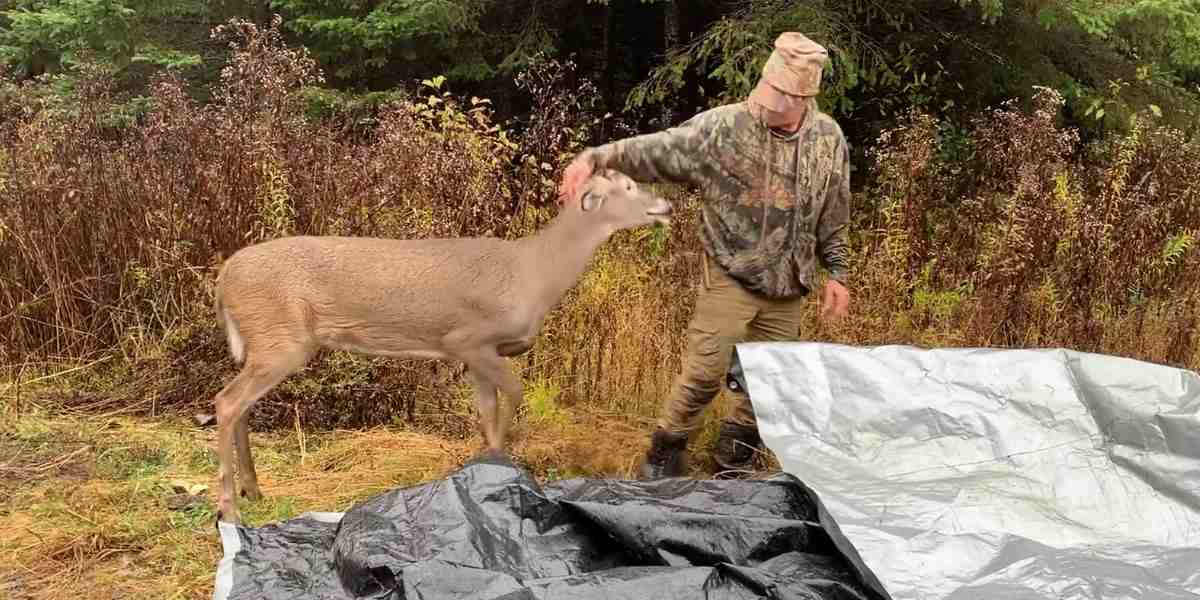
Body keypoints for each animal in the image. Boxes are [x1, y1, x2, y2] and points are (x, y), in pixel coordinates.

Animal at [208, 168, 676, 520]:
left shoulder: (478, 356)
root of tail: (224, 277)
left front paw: (487, 473)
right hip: (279, 338)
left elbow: (487, 411)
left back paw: (254, 491)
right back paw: (229, 509)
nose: (666, 206)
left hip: (267, 342)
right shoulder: (469, 340)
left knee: (241, 405)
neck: (535, 274)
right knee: (226, 402)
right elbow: (514, 394)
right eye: (628, 186)